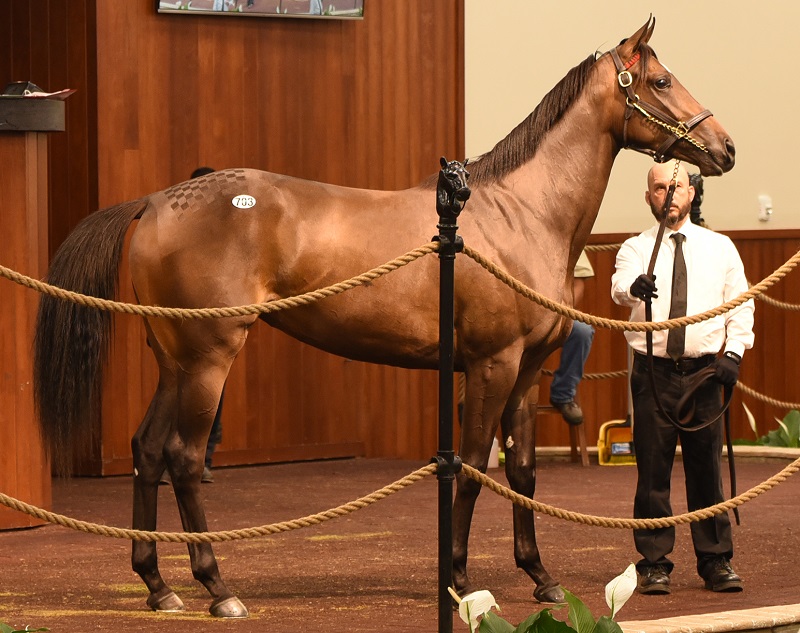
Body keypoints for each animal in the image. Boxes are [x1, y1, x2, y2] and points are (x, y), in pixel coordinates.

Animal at [32, 18, 732, 616]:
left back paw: (157, 585)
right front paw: (460, 581)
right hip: (208, 359)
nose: (724, 146)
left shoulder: (528, 370)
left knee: (147, 449)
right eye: (660, 81)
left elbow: (523, 473)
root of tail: (156, 201)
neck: (520, 214)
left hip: (173, 361)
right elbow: (471, 466)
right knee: (181, 456)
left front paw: (542, 579)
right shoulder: (491, 365)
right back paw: (217, 588)